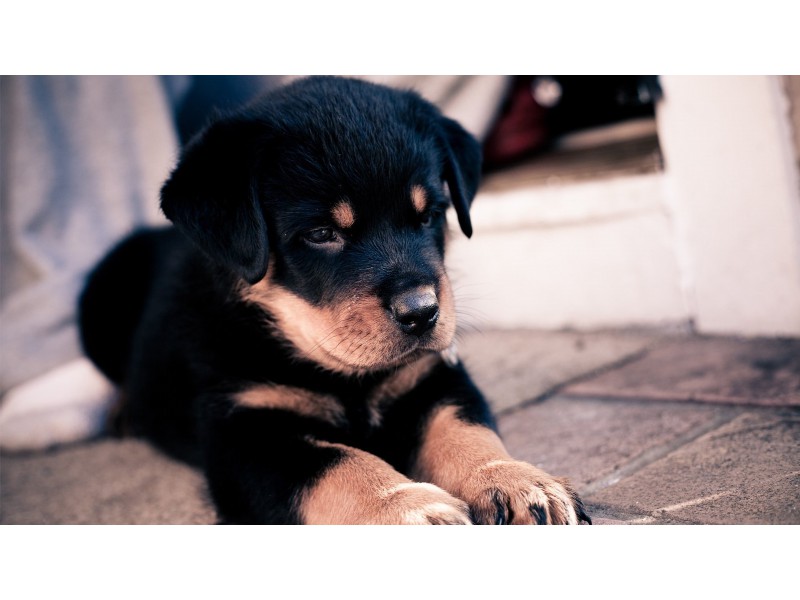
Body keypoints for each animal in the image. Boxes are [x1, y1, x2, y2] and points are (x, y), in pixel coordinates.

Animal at [81, 76, 592, 524]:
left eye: (430, 214)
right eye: (322, 234)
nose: (422, 311)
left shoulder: (434, 375)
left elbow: (466, 430)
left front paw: (515, 481)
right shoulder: (243, 432)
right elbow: (339, 464)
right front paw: (407, 508)